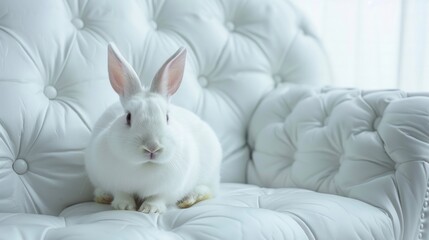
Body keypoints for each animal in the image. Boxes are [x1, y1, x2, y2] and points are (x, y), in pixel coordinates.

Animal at [85, 43, 222, 214]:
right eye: (128, 117)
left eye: (167, 117)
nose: (152, 147)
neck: (145, 167)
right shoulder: (114, 182)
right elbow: (122, 193)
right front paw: (124, 206)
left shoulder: (169, 189)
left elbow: (158, 197)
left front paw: (150, 209)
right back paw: (103, 196)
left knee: (207, 190)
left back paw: (188, 200)